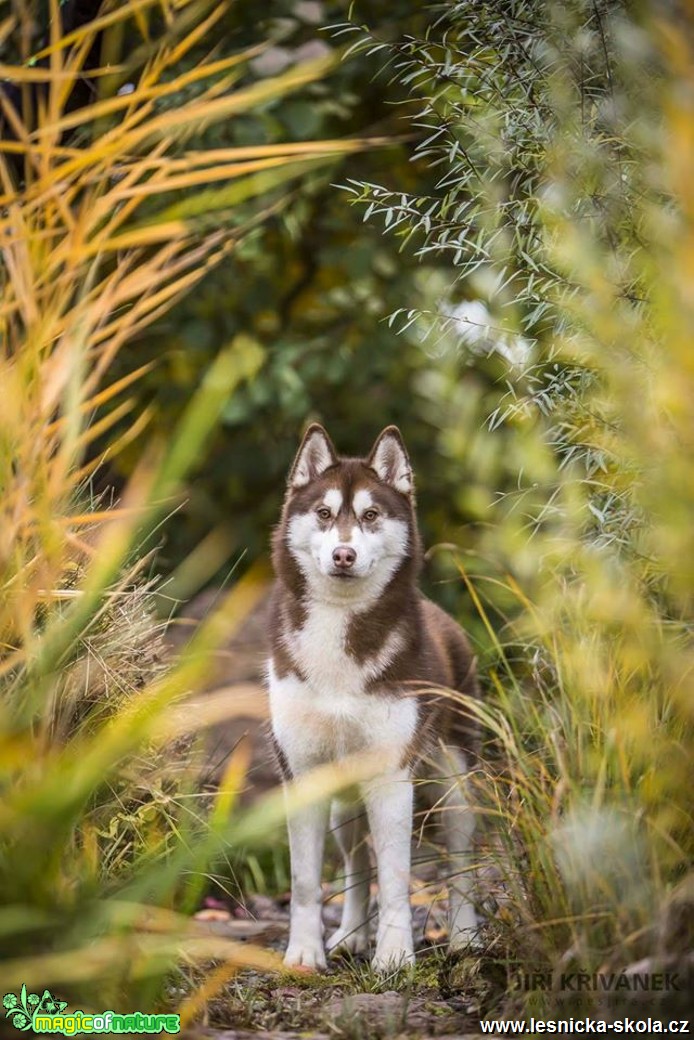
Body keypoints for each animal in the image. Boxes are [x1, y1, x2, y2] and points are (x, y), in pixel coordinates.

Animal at [268, 424, 480, 973]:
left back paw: (465, 935)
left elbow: (398, 877)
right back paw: (349, 935)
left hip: (456, 788)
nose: (343, 555)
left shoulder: (391, 777)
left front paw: (396, 956)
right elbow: (305, 880)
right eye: (324, 513)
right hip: (344, 800)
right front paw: (305, 953)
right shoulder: (303, 772)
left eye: (370, 516)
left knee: (461, 862)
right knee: (355, 861)